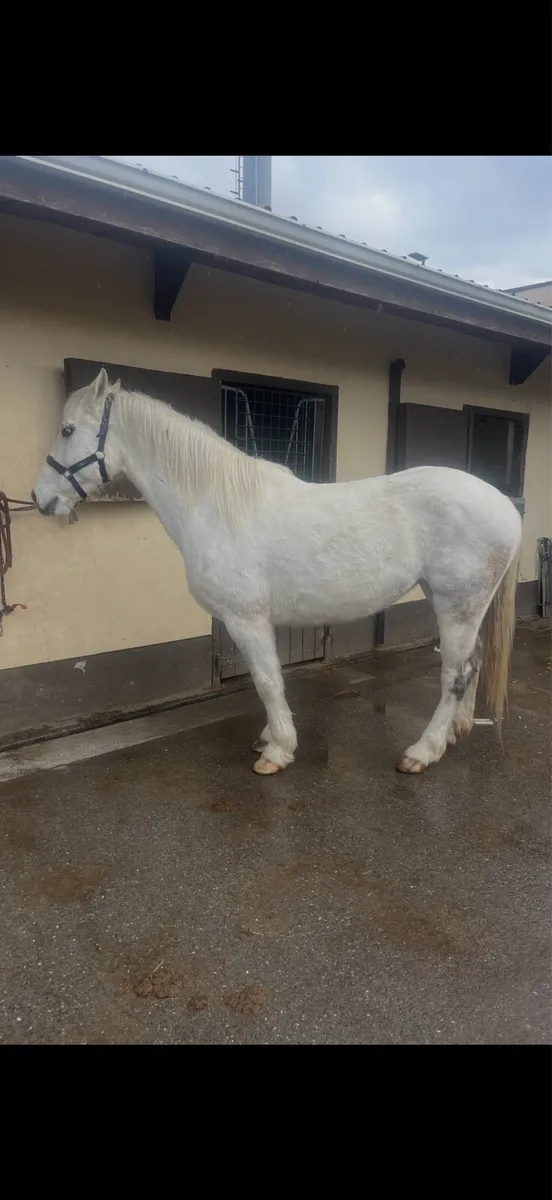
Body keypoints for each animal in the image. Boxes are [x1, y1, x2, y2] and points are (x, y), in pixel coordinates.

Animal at [32, 368, 522, 777]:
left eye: (68, 430)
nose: (39, 498)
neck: (217, 506)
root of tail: (504, 504)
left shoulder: (246, 619)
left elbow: (267, 682)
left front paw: (278, 750)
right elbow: (265, 681)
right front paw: (270, 738)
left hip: (458, 605)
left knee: (454, 673)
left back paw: (423, 751)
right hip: (456, 603)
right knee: (473, 661)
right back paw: (458, 731)